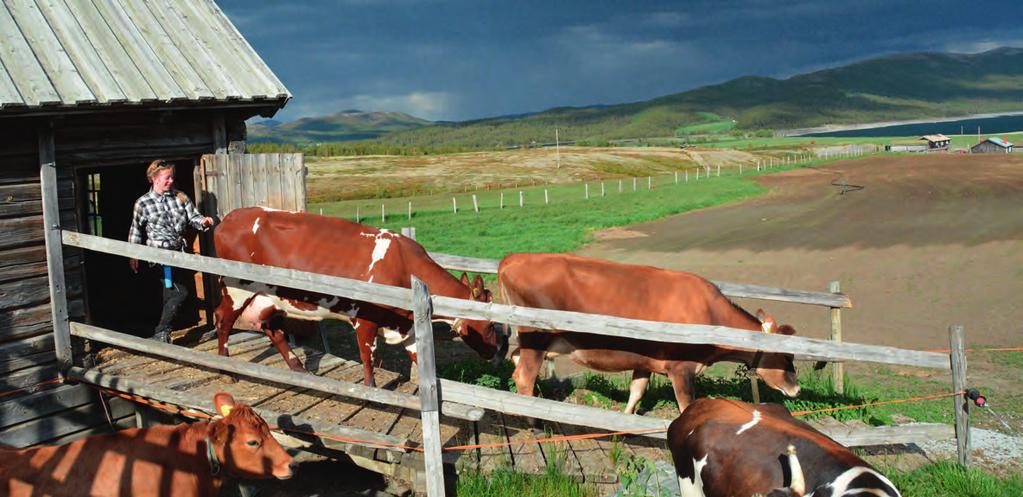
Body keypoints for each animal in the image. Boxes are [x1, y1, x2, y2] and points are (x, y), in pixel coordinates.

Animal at [212, 207, 507, 386]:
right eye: (491, 323)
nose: (498, 352)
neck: (403, 265)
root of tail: (229, 218)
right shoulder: (366, 320)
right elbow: (368, 359)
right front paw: (371, 389)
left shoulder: (407, 326)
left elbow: (417, 359)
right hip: (237, 288)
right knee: (223, 319)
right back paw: (225, 368)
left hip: (268, 297)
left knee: (272, 329)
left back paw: (298, 368)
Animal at [495, 254, 797, 413]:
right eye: (785, 356)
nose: (796, 388)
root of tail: (515, 258)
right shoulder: (681, 369)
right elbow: (686, 406)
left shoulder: (644, 361)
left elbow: (636, 392)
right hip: (536, 335)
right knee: (524, 376)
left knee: (515, 359)